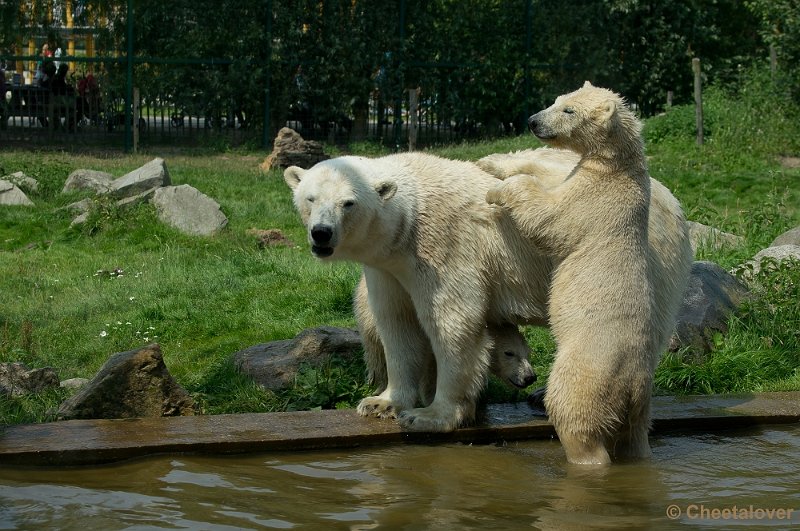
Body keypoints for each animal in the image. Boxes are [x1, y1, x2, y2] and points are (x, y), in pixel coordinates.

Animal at [484, 81, 692, 464]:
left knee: (574, 415)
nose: (533, 121)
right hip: (638, 406)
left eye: (569, 110)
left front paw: (498, 189)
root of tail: (632, 385)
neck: (619, 169)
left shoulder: (592, 200)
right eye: (557, 100)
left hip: (587, 371)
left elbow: (546, 214)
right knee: (634, 436)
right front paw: (492, 162)